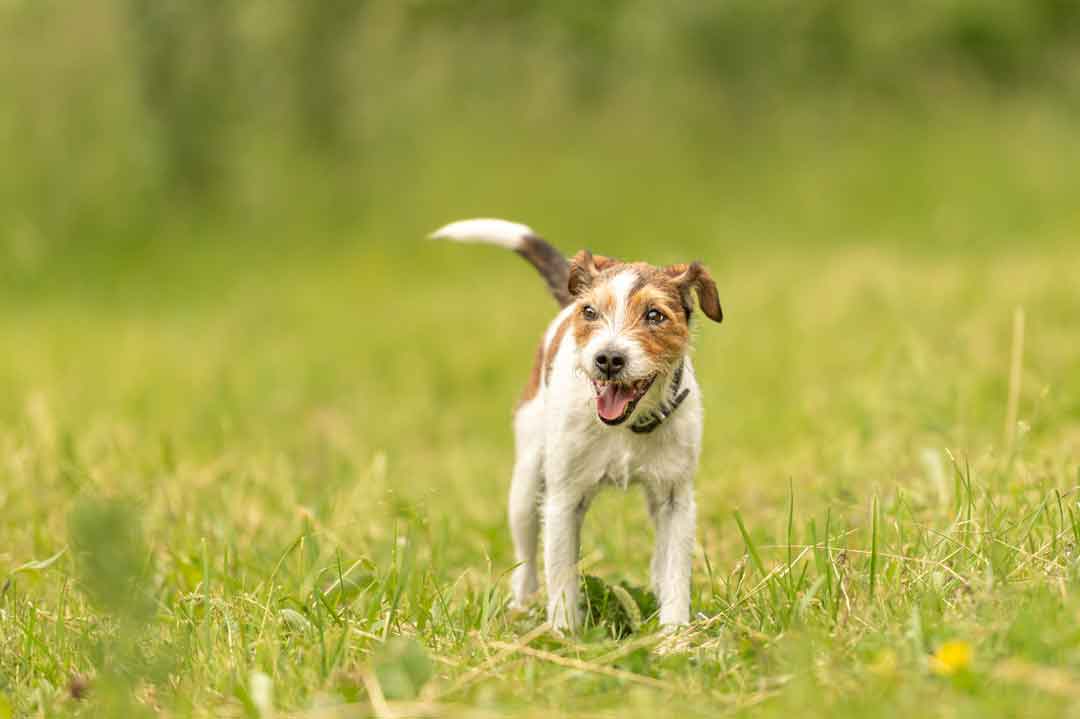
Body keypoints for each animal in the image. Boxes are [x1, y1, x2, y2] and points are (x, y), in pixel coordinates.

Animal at [432, 218, 725, 626]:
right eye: (590, 312)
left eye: (655, 315)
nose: (609, 359)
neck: (625, 428)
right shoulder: (563, 500)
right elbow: (560, 576)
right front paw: (563, 632)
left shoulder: (676, 498)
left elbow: (675, 571)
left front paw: (674, 632)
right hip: (526, 487)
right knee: (527, 561)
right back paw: (521, 608)